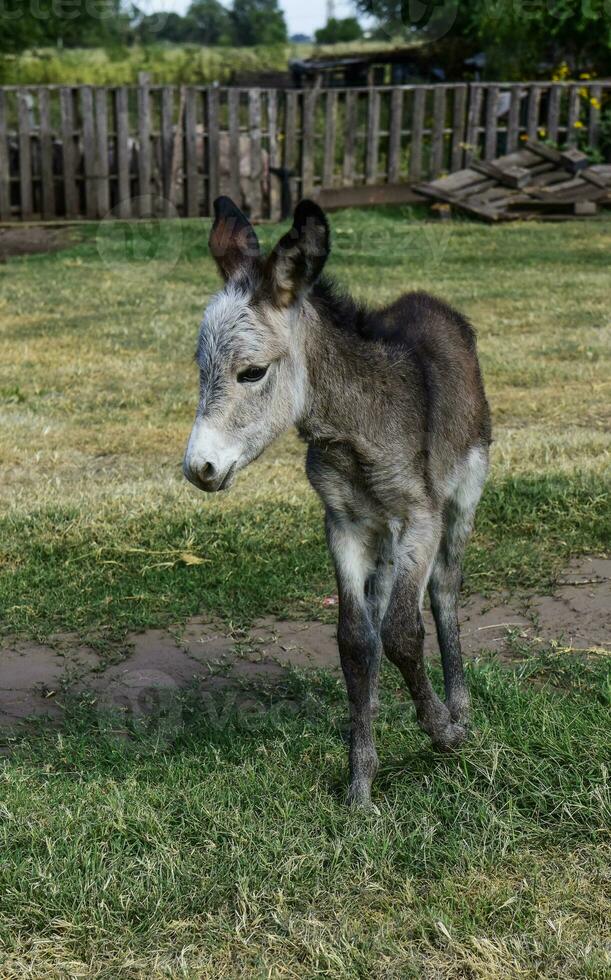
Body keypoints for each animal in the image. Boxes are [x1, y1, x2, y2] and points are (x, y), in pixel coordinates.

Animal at [183, 195, 492, 808]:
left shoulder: (419, 517)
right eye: (201, 371)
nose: (198, 469)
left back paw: (460, 710)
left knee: (443, 592)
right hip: (381, 536)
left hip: (462, 496)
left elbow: (402, 633)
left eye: (252, 372)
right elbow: (355, 641)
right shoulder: (344, 523)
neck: (351, 431)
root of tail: (430, 300)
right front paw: (360, 784)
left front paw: (442, 731)